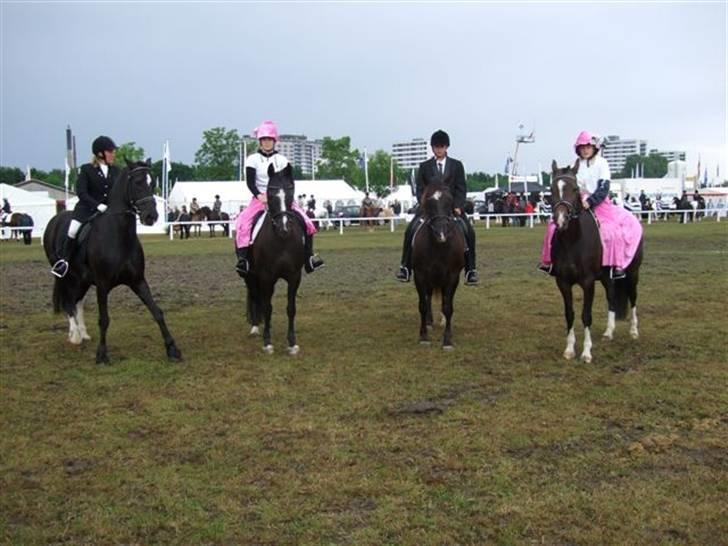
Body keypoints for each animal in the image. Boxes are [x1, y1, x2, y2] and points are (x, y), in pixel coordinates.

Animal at [42, 158, 181, 362]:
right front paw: (102, 355)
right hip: (65, 276)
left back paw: (82, 333)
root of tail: (55, 219)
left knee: (77, 302)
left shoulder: (138, 281)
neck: (119, 236)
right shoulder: (102, 284)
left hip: (82, 279)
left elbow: (157, 312)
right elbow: (104, 320)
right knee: (69, 302)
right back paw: (75, 335)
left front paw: (172, 349)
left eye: (152, 183)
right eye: (137, 182)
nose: (151, 217)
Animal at [242, 164, 304, 354]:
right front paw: (267, 342)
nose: (284, 228)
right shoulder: (266, 277)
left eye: (291, 191)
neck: (281, 239)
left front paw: (292, 343)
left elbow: (291, 308)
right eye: (269, 193)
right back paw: (255, 327)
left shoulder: (294, 276)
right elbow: (267, 308)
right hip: (249, 276)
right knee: (255, 296)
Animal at [412, 181, 464, 346]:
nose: (441, 233)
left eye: (449, 202)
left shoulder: (452, 276)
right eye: (429, 203)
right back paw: (429, 322)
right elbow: (422, 305)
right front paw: (423, 336)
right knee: (428, 298)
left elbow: (448, 307)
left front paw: (447, 339)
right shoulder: (420, 275)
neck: (438, 246)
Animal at [552, 158, 644, 362]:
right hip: (606, 277)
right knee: (611, 297)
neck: (573, 241)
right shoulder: (563, 282)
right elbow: (569, 314)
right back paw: (609, 332)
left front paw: (586, 352)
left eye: (575, 189)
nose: (561, 220)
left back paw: (634, 331)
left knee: (633, 298)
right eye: (551, 189)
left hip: (633, 273)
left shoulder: (587, 283)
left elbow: (586, 315)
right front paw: (569, 349)